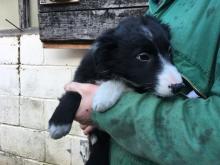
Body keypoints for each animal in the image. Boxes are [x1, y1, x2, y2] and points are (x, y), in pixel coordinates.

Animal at [49, 15, 185, 165]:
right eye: (143, 56)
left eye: (170, 51)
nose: (179, 86)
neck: (113, 68)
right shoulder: (82, 75)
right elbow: (73, 93)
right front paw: (58, 124)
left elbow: (121, 82)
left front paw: (104, 97)